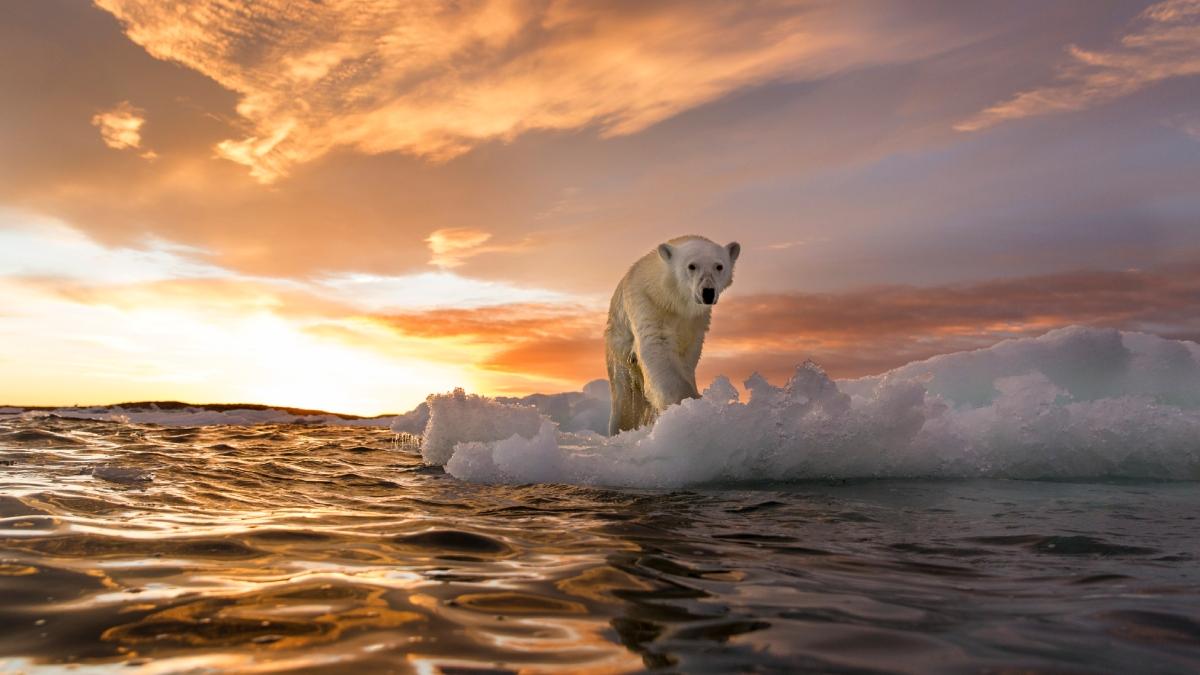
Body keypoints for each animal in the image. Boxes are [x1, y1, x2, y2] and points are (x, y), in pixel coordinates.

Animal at [604, 234, 734, 432]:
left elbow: (687, 355)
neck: (671, 300)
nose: (708, 292)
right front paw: (687, 404)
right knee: (624, 397)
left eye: (719, 266)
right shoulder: (648, 304)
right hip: (618, 349)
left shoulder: (695, 322)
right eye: (691, 265)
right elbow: (657, 347)